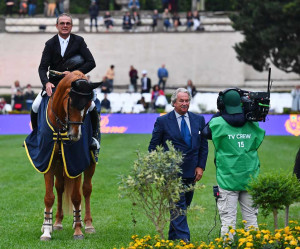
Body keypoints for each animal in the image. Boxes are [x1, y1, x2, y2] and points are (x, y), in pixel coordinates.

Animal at [39, 71, 101, 240]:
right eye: (71, 103)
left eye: (88, 105)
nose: (75, 135)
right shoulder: (49, 160)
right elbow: (49, 196)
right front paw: (46, 230)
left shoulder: (76, 161)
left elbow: (76, 196)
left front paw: (78, 230)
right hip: (60, 164)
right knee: (60, 188)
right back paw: (56, 222)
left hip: (89, 162)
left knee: (86, 190)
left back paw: (87, 224)